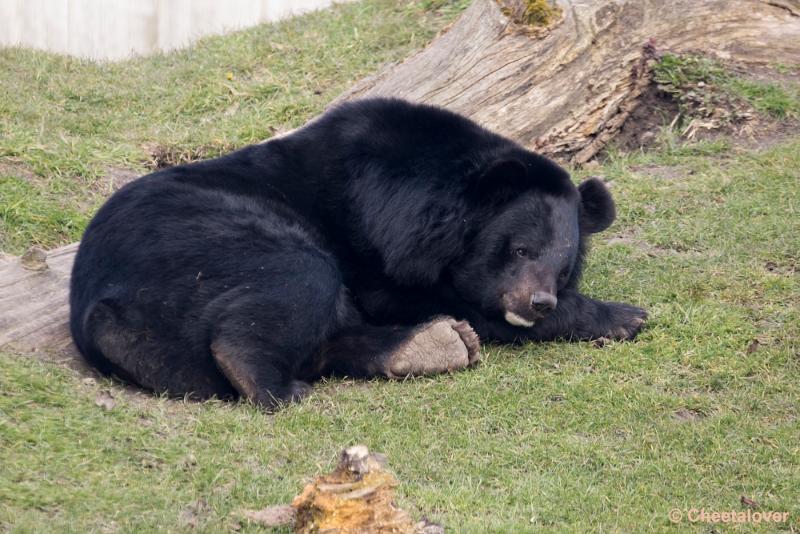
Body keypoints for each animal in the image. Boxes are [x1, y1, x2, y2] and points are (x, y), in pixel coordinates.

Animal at [67, 98, 644, 408]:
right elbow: (422, 296)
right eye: (520, 249)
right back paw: (279, 388)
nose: (538, 304)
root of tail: (102, 317)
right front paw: (625, 316)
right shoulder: (375, 246)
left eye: (562, 269)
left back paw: (438, 345)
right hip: (207, 246)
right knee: (295, 281)